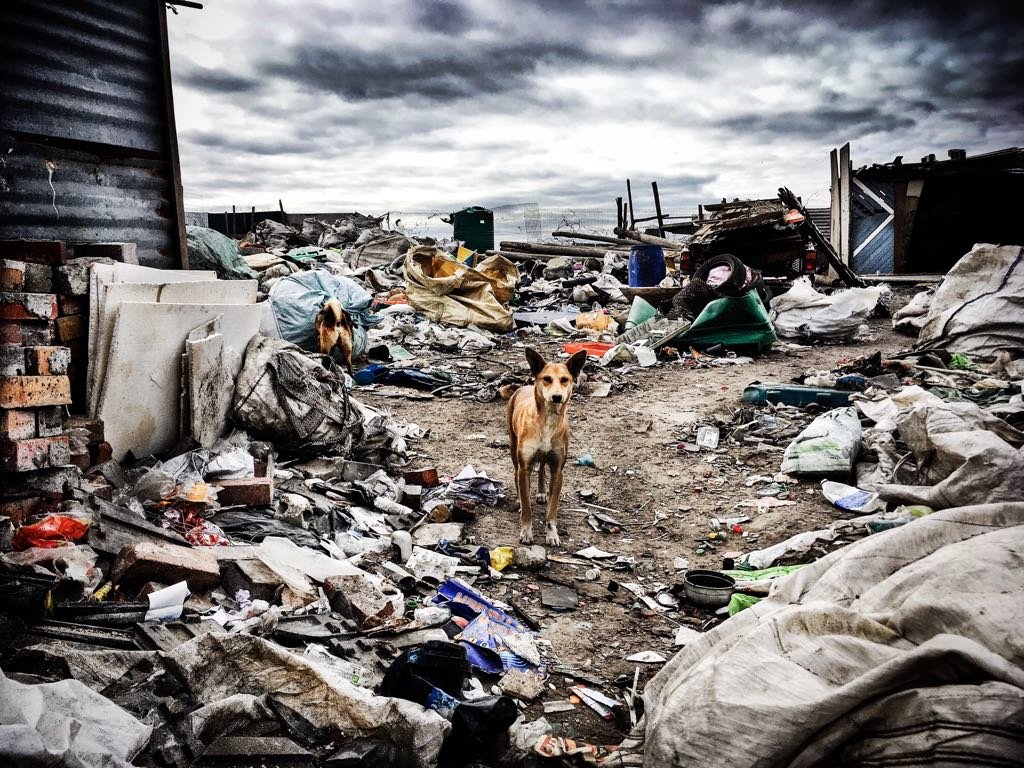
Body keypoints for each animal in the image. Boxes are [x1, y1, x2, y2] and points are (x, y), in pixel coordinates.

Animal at [501, 348, 589, 548]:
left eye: (564, 379)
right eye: (547, 379)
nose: (557, 397)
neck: (548, 419)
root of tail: (521, 387)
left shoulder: (558, 470)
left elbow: (552, 510)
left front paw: (552, 534)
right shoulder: (525, 466)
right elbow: (527, 507)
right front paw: (526, 531)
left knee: (541, 467)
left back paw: (541, 492)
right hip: (513, 448)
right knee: (517, 474)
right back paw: (519, 498)